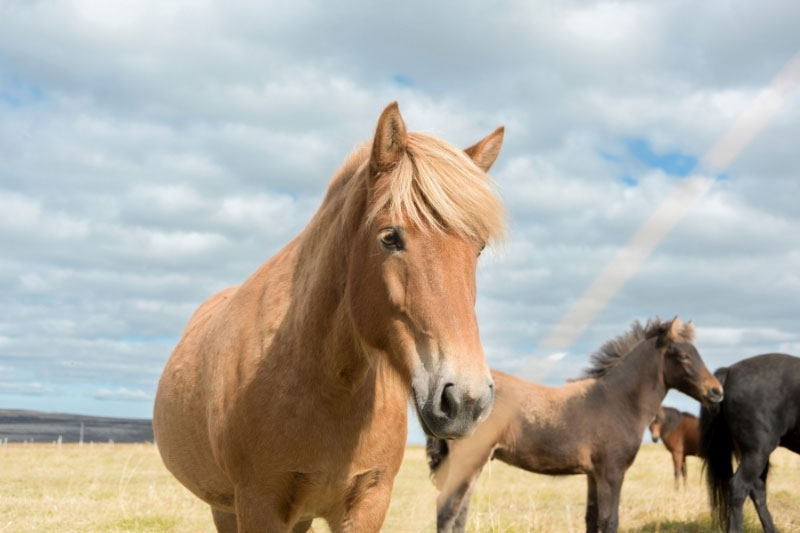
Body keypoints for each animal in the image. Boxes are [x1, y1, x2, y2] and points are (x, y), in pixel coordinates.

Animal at [153, 102, 508, 533]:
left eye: (478, 247)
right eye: (390, 237)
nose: (466, 400)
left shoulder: (368, 501)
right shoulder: (257, 503)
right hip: (224, 507)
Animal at [426, 317, 724, 533]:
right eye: (684, 356)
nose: (716, 392)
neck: (617, 401)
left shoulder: (593, 474)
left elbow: (591, 519)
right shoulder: (612, 472)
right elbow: (610, 520)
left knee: (459, 514)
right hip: (468, 462)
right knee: (446, 510)